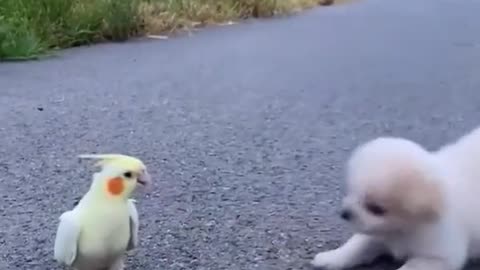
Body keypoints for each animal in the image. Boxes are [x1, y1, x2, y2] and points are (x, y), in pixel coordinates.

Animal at [312, 127, 480, 270]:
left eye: (376, 208)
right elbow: (356, 247)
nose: (345, 213)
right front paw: (331, 258)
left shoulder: (437, 257)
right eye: (352, 193)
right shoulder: (376, 233)